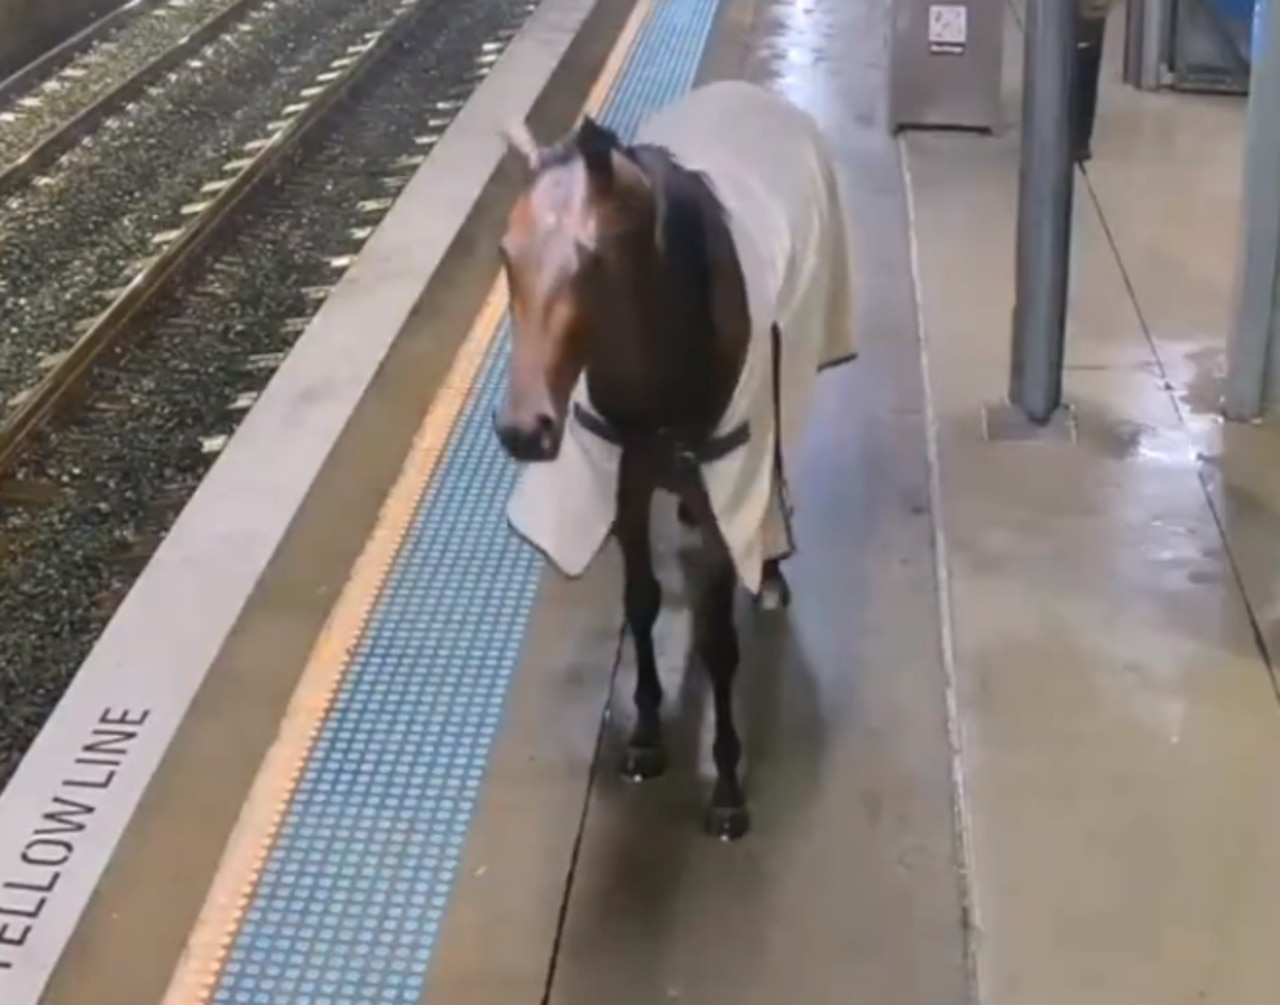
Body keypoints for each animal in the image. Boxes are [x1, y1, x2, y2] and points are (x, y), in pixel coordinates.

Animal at [494, 80, 855, 839]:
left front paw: (727, 785)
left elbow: (719, 640)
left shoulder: (728, 485)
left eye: (591, 258)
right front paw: (645, 734)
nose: (523, 430)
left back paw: (770, 568)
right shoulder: (624, 484)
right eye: (507, 254)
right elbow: (641, 603)